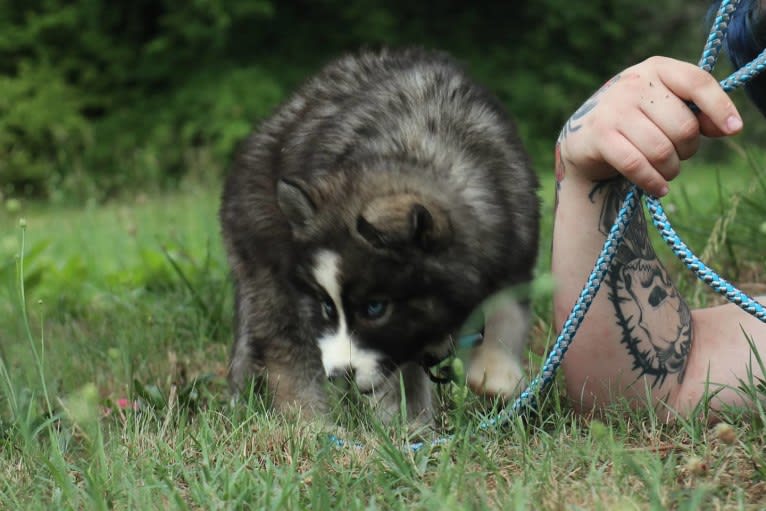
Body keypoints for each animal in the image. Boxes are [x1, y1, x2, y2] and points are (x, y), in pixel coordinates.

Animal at [219, 48, 540, 424]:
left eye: (374, 308)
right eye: (327, 306)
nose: (339, 376)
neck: (423, 155)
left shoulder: (515, 245)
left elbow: (508, 311)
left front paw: (496, 373)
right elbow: (398, 379)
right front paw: (411, 428)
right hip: (271, 274)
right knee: (286, 350)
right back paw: (311, 423)